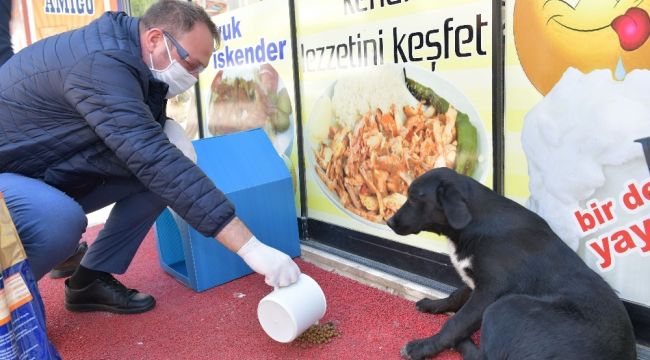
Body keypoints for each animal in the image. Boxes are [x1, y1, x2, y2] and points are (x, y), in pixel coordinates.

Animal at [384, 167, 632, 358]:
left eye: (413, 198)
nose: (388, 222)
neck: (474, 223)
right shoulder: (477, 282)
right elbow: (456, 295)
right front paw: (433, 304)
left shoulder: (490, 291)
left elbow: (456, 323)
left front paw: (422, 347)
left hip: (505, 306)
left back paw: (462, 342)